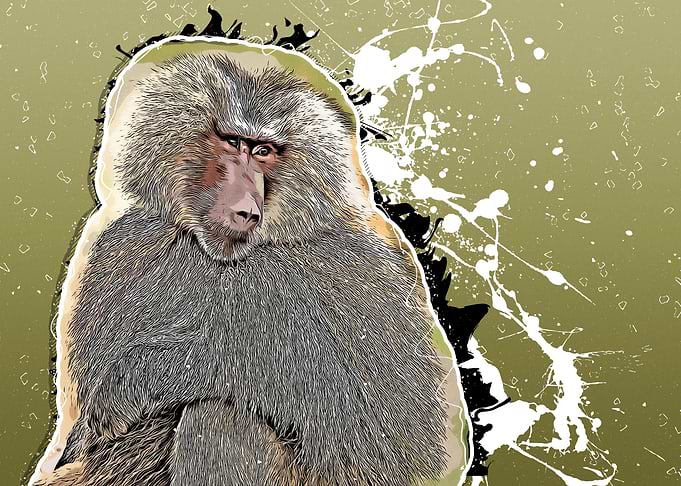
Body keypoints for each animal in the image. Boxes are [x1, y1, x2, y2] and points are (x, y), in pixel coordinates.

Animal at [29, 38, 471, 486]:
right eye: (233, 143)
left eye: (263, 151)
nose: (246, 210)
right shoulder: (121, 246)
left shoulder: (354, 270)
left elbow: (391, 432)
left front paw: (137, 379)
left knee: (218, 417)